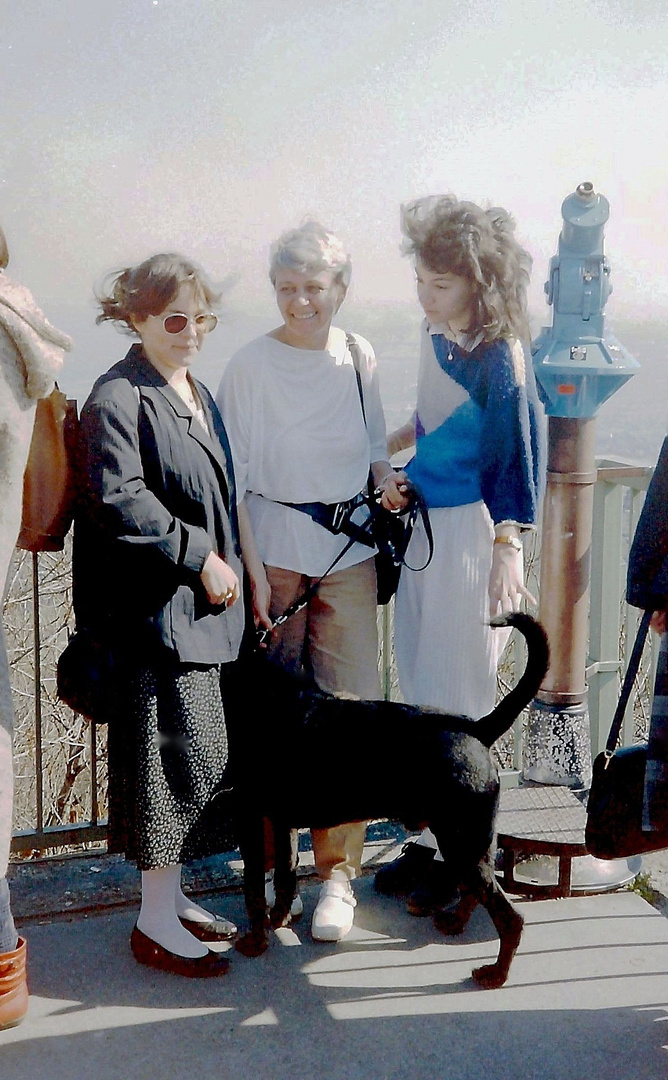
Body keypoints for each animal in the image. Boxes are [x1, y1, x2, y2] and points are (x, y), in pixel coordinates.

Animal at [233, 613, 552, 989]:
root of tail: (478, 730)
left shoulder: (250, 816)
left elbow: (253, 886)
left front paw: (255, 941)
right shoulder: (281, 821)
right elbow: (285, 872)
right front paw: (279, 918)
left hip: (461, 841)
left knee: (509, 917)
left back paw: (495, 974)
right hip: (471, 845)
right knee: (476, 891)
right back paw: (455, 923)